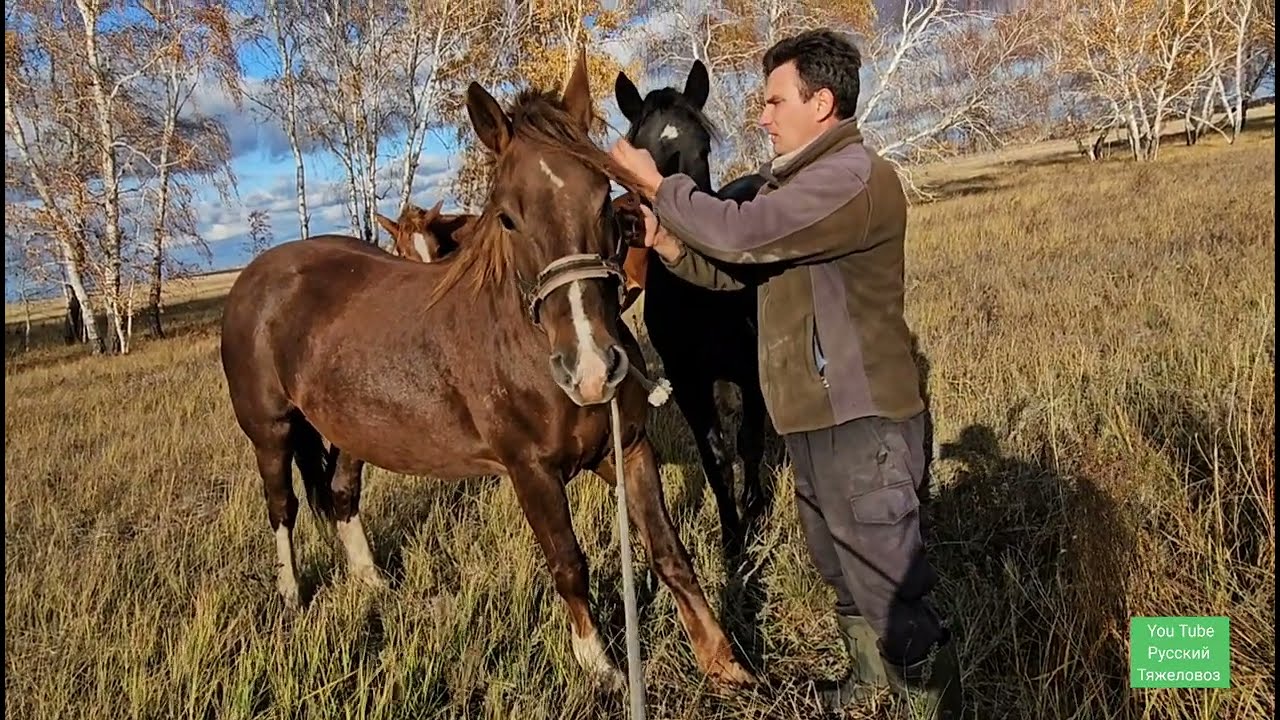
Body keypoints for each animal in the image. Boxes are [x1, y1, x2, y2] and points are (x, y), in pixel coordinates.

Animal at [218, 50, 755, 689]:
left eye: (604, 197)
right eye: (507, 218)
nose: (591, 369)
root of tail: (259, 273)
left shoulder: (627, 450)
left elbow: (669, 551)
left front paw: (724, 660)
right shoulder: (530, 472)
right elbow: (567, 562)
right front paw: (601, 667)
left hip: (349, 429)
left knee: (343, 495)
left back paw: (375, 585)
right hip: (270, 431)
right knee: (282, 508)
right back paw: (293, 595)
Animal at [612, 61, 771, 554]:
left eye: (702, 148)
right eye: (636, 154)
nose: (649, 227)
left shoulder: (752, 371)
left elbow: (749, 441)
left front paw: (754, 512)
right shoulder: (686, 382)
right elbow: (714, 456)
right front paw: (732, 539)